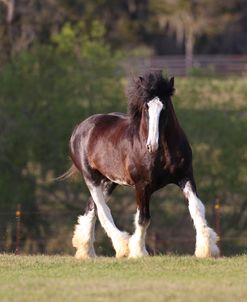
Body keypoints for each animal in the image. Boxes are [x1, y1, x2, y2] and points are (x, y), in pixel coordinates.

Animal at [62, 70, 219, 258]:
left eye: (165, 107)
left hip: (109, 181)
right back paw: (122, 246)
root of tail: (80, 128)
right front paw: (139, 251)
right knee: (102, 209)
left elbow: (197, 208)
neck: (163, 153)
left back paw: (87, 252)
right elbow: (143, 218)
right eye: (146, 107)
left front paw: (206, 249)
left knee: (91, 207)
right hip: (91, 177)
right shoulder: (142, 185)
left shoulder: (185, 176)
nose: (152, 145)